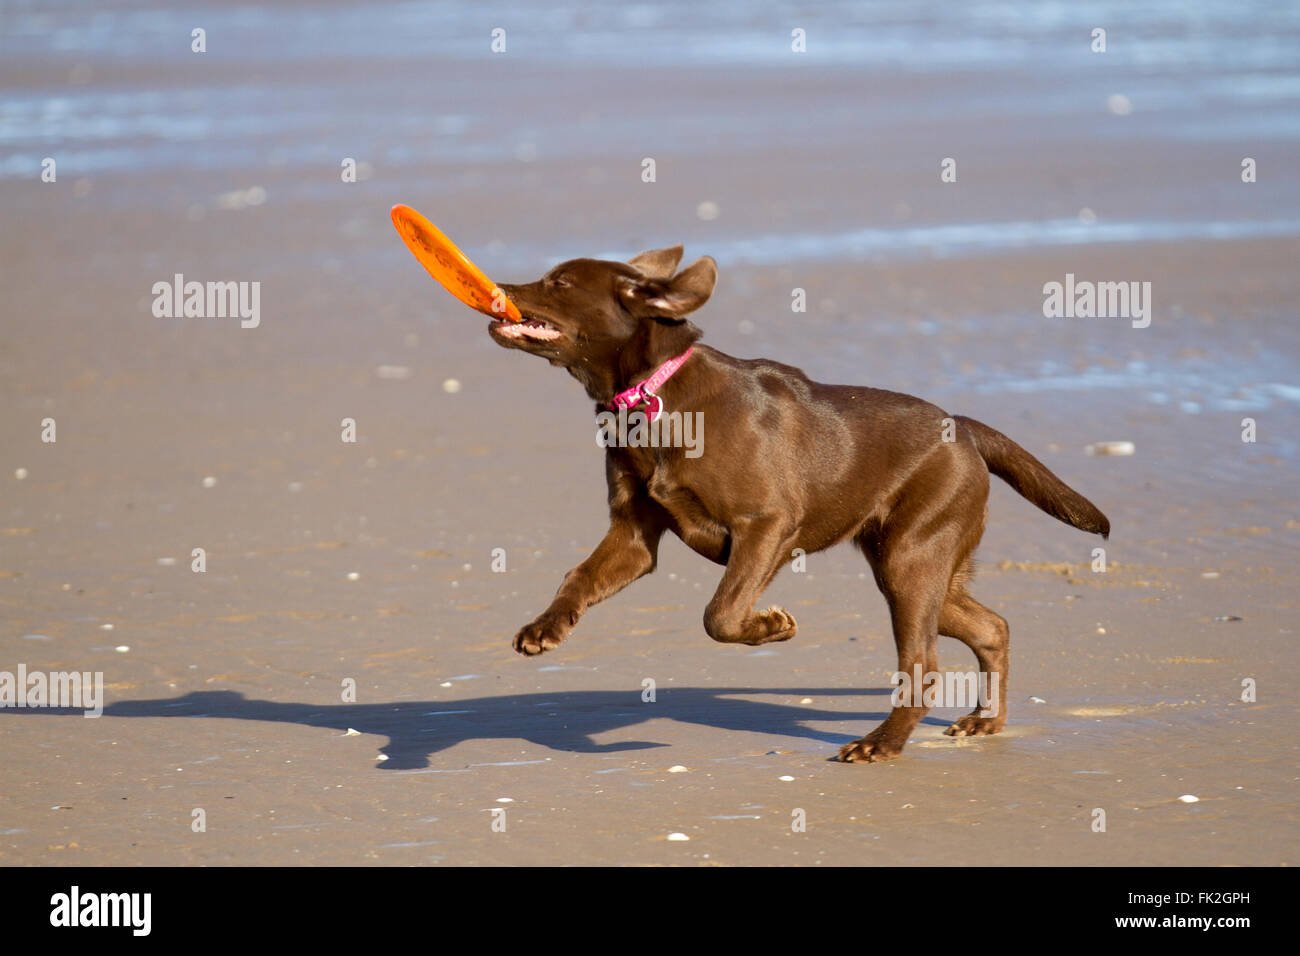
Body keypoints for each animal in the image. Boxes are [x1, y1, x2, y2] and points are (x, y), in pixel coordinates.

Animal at [488, 247, 1107, 764]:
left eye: (559, 282)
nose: (496, 288)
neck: (652, 396)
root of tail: (966, 427)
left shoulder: (766, 524)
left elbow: (721, 613)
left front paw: (770, 626)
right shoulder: (634, 535)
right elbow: (579, 576)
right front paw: (544, 628)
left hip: (912, 559)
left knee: (924, 664)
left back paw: (881, 744)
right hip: (915, 566)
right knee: (992, 627)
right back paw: (984, 722)